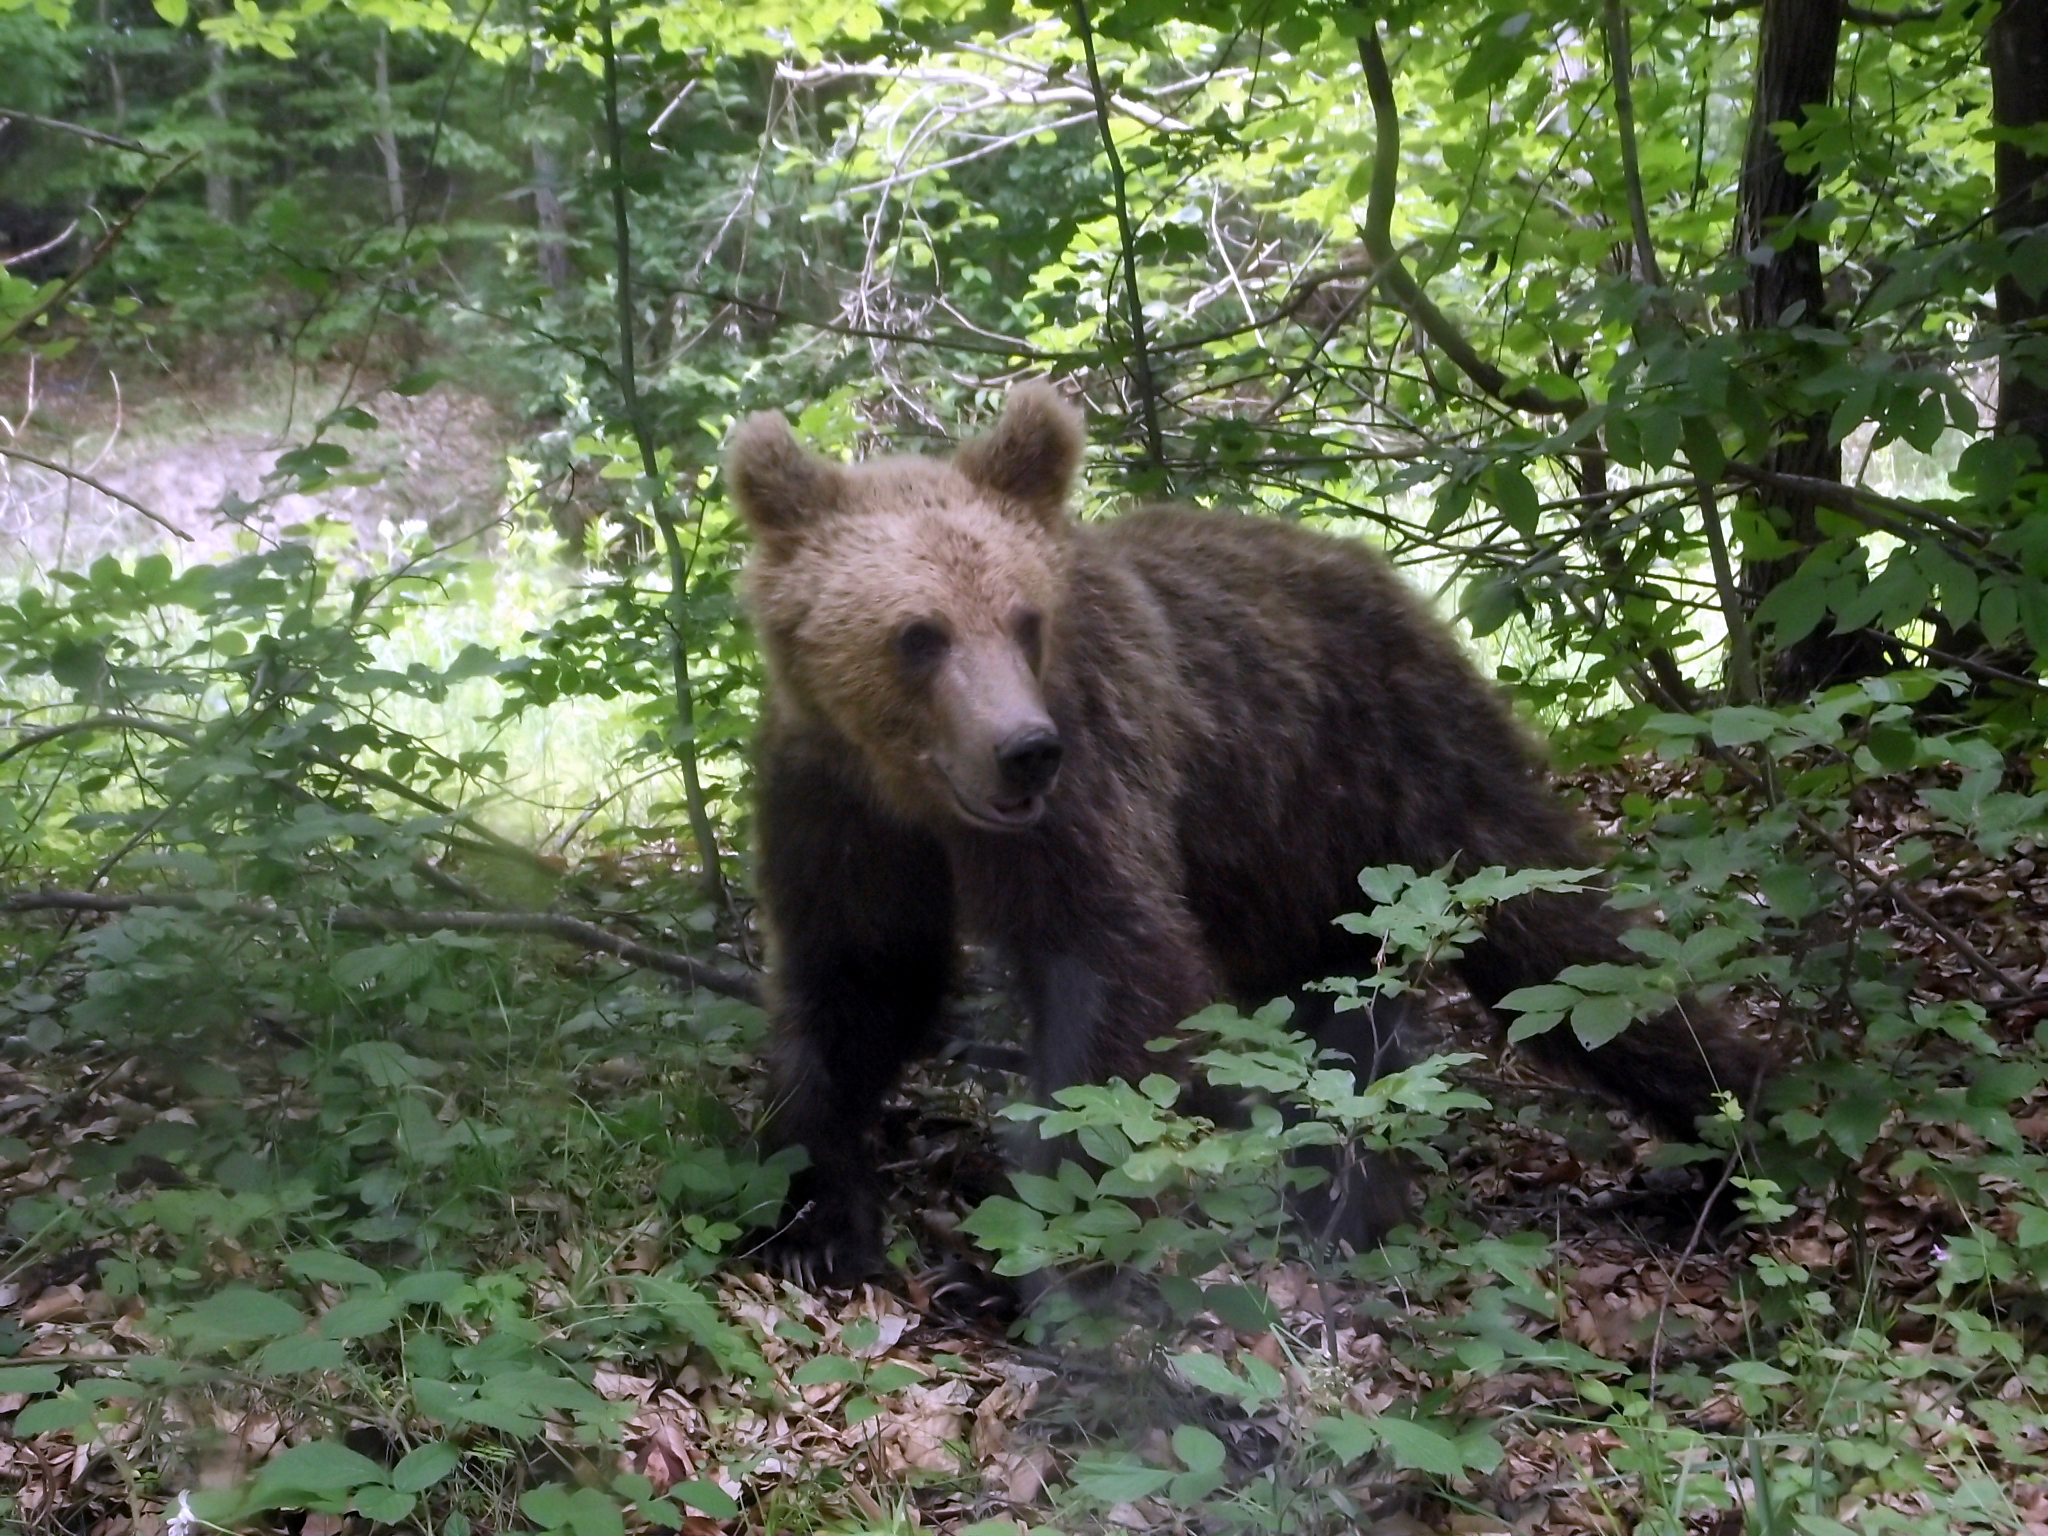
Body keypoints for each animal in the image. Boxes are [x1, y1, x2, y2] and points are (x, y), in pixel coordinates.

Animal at [729, 385, 1769, 1286]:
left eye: (1025, 621)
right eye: (920, 634)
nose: (1024, 751)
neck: (915, 793)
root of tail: (1391, 579)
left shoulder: (1093, 779)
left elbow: (1116, 972)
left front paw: (1042, 1255)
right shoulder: (834, 806)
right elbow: (863, 976)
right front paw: (814, 1216)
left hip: (1411, 770)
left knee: (1567, 948)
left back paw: (1735, 1133)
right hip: (1298, 851)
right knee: (1333, 1006)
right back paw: (1344, 1195)